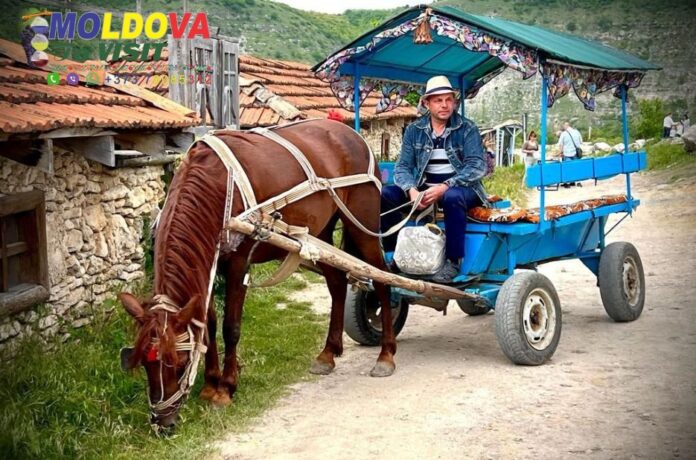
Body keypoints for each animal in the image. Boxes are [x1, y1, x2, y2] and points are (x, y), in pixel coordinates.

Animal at [119, 119, 397, 429]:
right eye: (146, 363)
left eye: (179, 364)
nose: (163, 423)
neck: (217, 187)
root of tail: (351, 133)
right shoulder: (210, 261)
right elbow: (208, 326)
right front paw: (210, 383)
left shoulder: (239, 263)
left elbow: (231, 327)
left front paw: (226, 388)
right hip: (319, 234)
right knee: (337, 283)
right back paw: (328, 353)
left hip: (362, 224)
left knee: (383, 280)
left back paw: (386, 353)